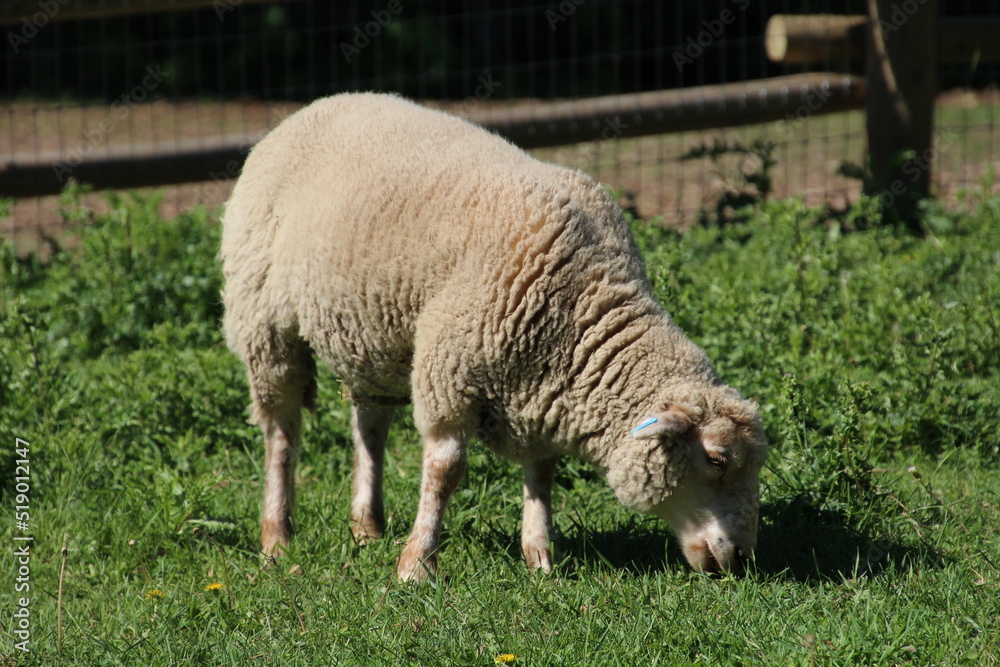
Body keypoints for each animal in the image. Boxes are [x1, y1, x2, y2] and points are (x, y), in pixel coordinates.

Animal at [221, 91, 764, 580]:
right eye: (717, 459)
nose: (741, 558)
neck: (580, 305)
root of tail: (317, 105)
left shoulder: (541, 391)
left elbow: (542, 471)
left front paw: (540, 558)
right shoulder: (450, 373)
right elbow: (445, 471)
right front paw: (416, 565)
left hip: (370, 337)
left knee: (369, 427)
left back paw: (367, 526)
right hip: (263, 318)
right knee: (282, 431)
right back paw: (276, 539)